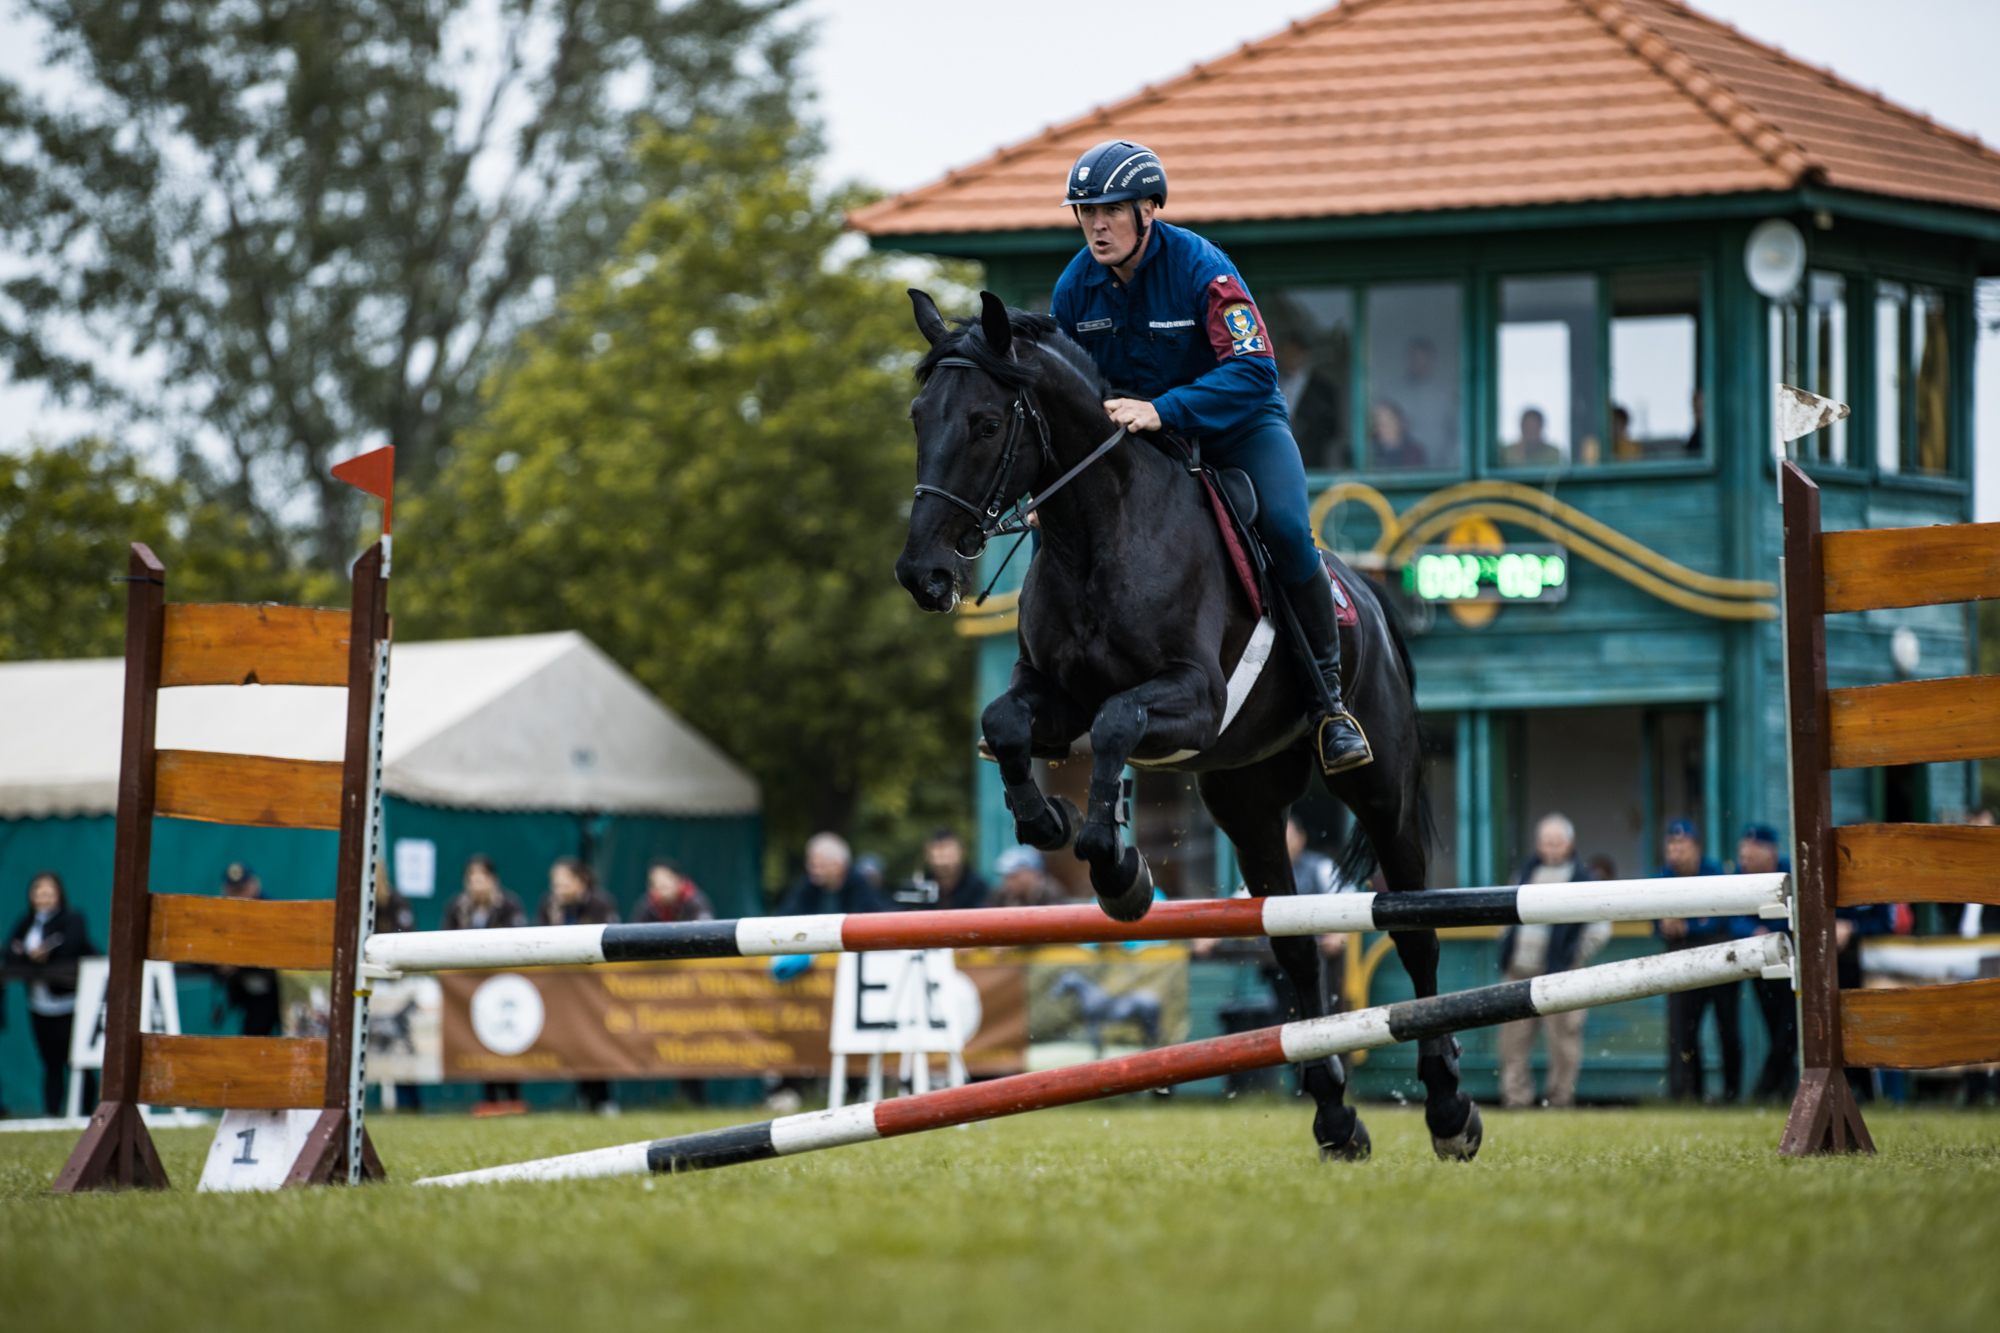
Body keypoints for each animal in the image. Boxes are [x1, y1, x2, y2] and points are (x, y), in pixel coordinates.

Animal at [900, 288, 1480, 1152]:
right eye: (917, 416)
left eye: (985, 422)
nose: (922, 574)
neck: (1096, 529)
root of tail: (1370, 600)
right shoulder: (1054, 698)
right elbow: (1006, 724)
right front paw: (1053, 823)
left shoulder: (1195, 699)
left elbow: (1115, 723)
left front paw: (1115, 865)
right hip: (1247, 803)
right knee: (1294, 945)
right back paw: (1335, 1114)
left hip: (1381, 790)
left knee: (1413, 927)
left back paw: (1448, 1107)